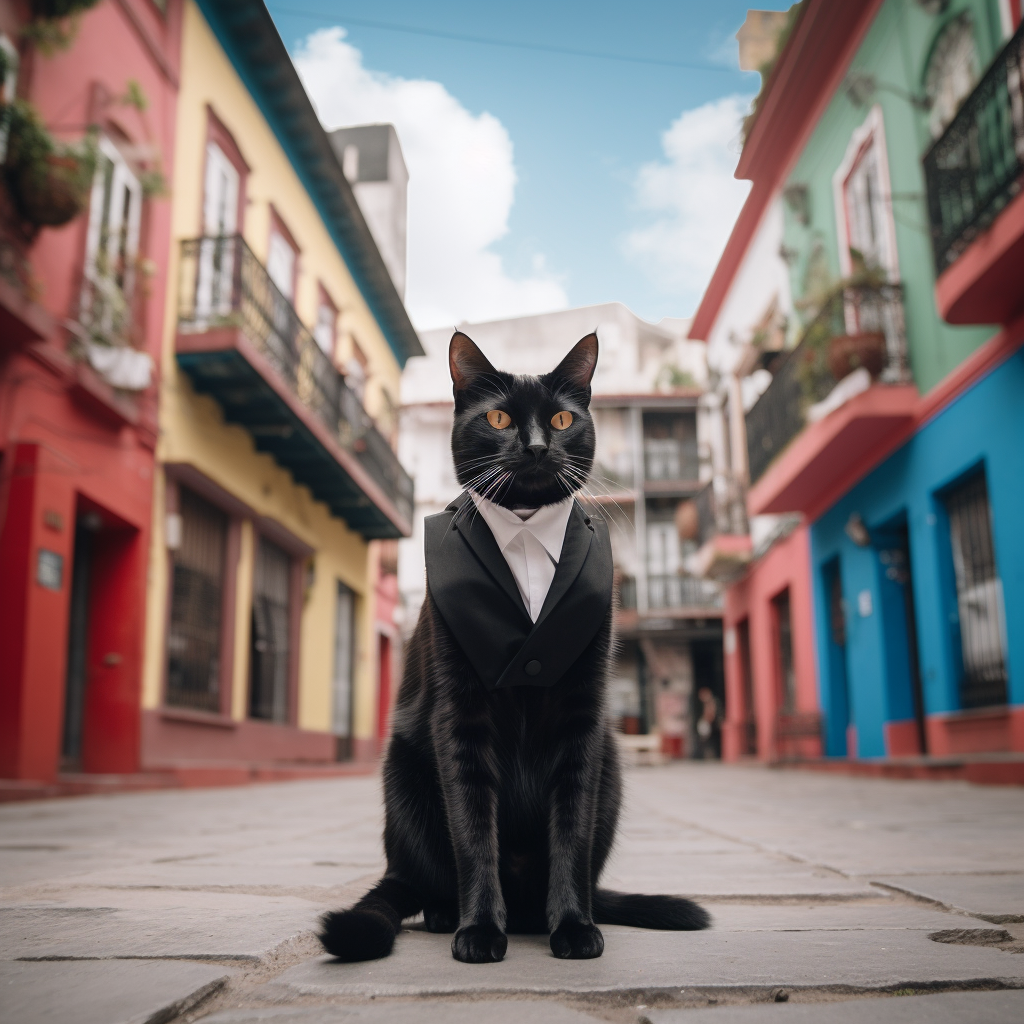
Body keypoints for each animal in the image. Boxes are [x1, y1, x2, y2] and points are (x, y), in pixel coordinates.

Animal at [321, 331, 712, 962]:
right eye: (500, 418)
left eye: (561, 419)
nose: (534, 447)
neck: (527, 529)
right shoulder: (460, 717)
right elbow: (474, 830)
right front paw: (480, 929)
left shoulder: (583, 717)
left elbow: (570, 832)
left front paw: (574, 926)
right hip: (403, 777)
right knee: (426, 879)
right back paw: (446, 914)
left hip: (610, 763)